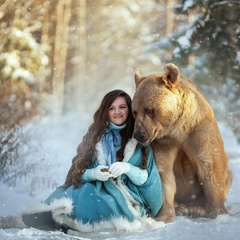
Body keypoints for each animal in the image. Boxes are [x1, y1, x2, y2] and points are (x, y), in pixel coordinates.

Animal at [131, 62, 232, 222]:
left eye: (149, 110)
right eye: (134, 111)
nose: (139, 135)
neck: (177, 129)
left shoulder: (198, 130)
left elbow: (211, 164)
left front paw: (217, 211)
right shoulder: (162, 143)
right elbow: (163, 172)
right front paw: (164, 215)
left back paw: (197, 208)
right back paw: (181, 207)